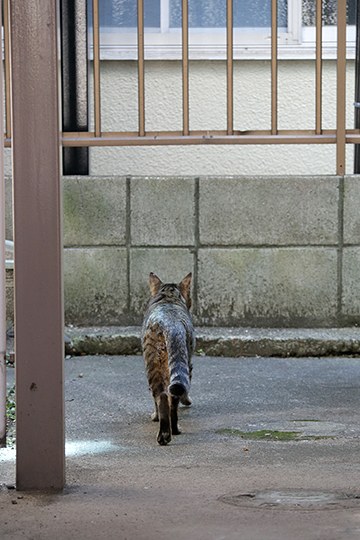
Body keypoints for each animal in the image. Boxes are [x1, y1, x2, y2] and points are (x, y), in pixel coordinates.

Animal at [142, 272, 195, 446]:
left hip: (154, 365)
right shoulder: (188, 363)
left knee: (162, 397)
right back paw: (173, 430)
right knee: (171, 398)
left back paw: (165, 434)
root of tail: (171, 323)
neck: (169, 298)